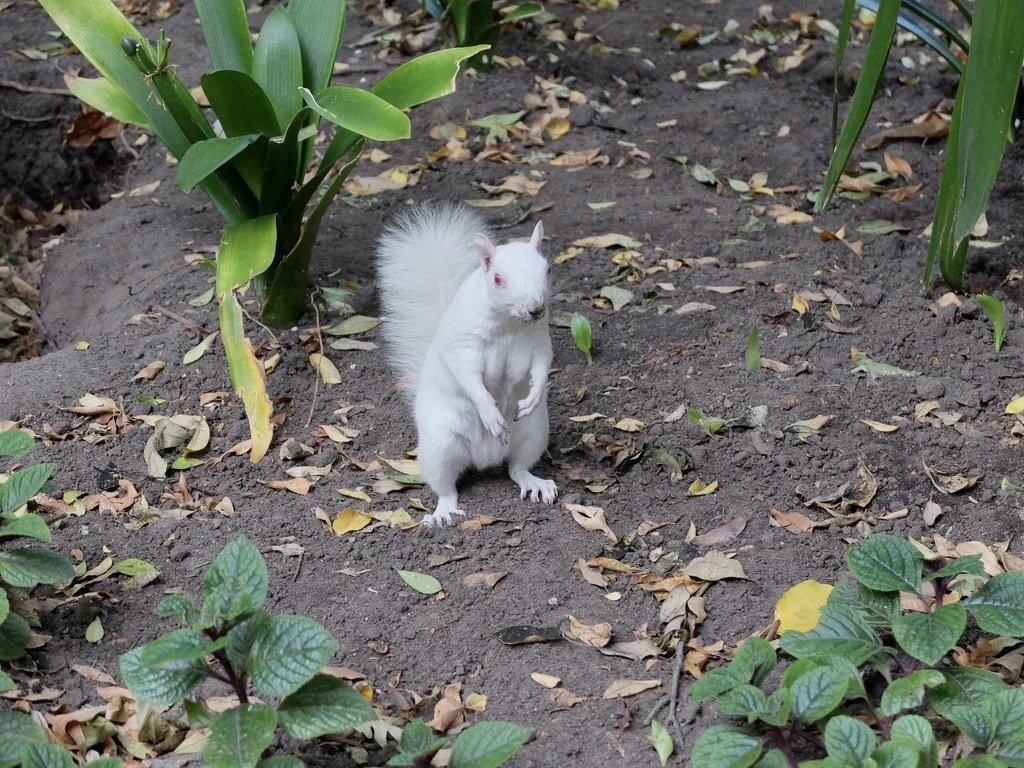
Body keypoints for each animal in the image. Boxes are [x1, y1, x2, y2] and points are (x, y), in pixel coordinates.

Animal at [375, 202, 558, 527]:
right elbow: (469, 377)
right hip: (441, 444)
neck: (509, 324)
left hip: (533, 432)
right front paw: (489, 413)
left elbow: (541, 366)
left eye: (547, 269)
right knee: (446, 487)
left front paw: (533, 397)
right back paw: (443, 511)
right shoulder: (464, 344)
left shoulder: (538, 342)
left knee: (517, 468)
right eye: (497, 279)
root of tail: (485, 456)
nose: (536, 308)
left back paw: (534, 481)